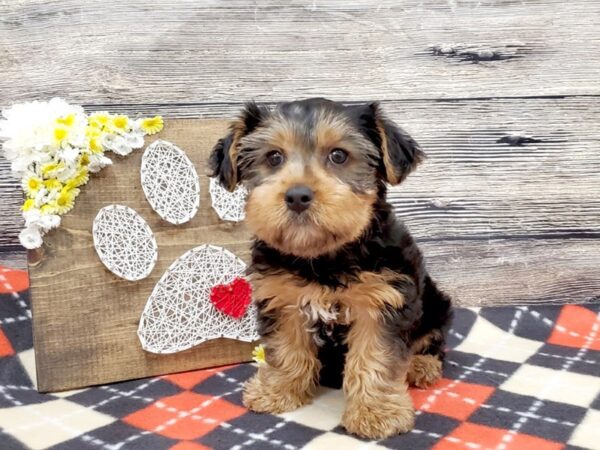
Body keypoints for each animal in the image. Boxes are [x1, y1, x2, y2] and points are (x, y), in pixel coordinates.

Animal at [210, 98, 450, 440]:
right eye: (274, 157)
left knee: (431, 338)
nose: (297, 195)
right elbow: (287, 349)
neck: (322, 258)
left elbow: (376, 357)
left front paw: (376, 412)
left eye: (339, 155)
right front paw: (278, 390)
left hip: (433, 303)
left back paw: (422, 366)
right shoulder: (282, 299)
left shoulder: (384, 300)